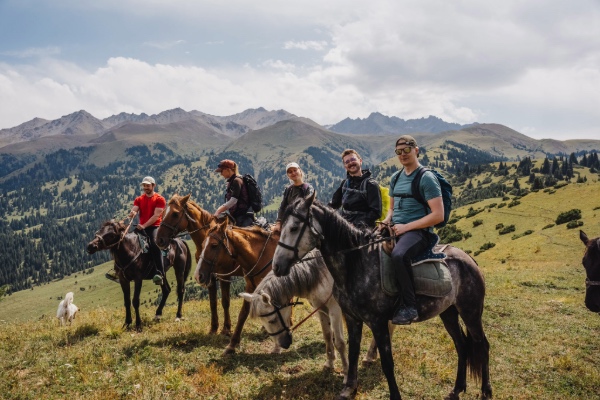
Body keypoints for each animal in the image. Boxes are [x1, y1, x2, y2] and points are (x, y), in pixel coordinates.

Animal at [155, 195, 234, 336]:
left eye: (175, 214)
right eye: (163, 213)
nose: (159, 240)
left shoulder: (225, 275)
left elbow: (225, 301)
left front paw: (226, 328)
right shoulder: (208, 276)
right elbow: (213, 302)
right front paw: (214, 328)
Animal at [197, 217, 278, 354]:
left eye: (214, 245)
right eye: (202, 245)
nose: (198, 275)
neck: (260, 256)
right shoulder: (250, 287)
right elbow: (243, 313)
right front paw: (232, 344)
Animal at [239, 252, 350, 380]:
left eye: (272, 320)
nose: (284, 344)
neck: (321, 274)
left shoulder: (335, 309)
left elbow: (339, 342)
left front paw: (346, 372)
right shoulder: (322, 310)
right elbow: (327, 336)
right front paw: (330, 363)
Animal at [272, 193, 492, 400]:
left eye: (294, 228)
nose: (276, 266)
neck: (356, 265)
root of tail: (468, 259)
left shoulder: (378, 323)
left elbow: (387, 363)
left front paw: (393, 395)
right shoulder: (352, 318)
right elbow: (352, 353)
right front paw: (349, 389)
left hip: (471, 312)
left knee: (482, 344)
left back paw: (486, 391)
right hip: (448, 312)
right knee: (461, 345)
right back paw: (456, 390)